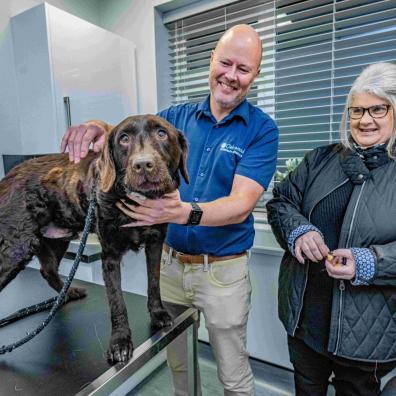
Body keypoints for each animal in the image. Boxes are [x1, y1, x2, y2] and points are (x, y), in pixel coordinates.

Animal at [0, 113, 189, 362]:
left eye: (161, 133)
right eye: (124, 138)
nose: (143, 164)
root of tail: (8, 176)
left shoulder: (155, 244)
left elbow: (154, 282)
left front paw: (158, 314)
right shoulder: (109, 256)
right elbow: (117, 301)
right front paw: (120, 341)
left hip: (58, 239)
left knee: (48, 271)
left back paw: (68, 293)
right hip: (16, 248)